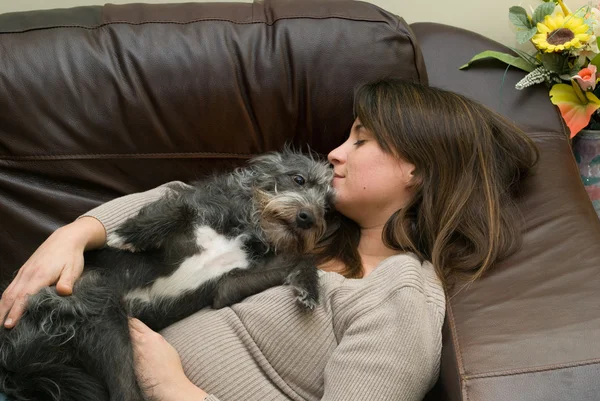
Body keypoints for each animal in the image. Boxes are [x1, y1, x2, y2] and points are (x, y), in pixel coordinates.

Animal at [0, 149, 338, 400]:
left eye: (328, 209)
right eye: (298, 179)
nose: (308, 218)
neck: (247, 227)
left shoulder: (228, 285)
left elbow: (302, 258)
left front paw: (308, 288)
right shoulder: (193, 208)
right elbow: (179, 208)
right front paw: (130, 234)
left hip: (107, 329)